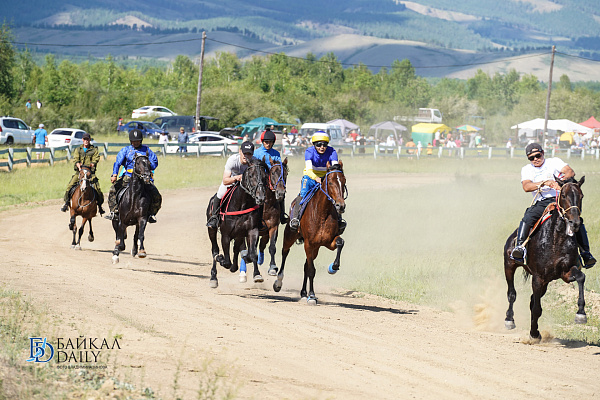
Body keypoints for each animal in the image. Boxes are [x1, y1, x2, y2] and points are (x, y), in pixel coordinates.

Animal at [209, 156, 270, 288]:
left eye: (264, 176)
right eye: (251, 175)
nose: (261, 198)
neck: (242, 203)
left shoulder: (252, 231)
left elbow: (252, 254)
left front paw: (257, 275)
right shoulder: (226, 235)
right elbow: (225, 260)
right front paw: (221, 259)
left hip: (239, 235)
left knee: (236, 248)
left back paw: (235, 266)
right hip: (212, 230)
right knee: (214, 250)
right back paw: (213, 277)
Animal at [274, 161, 344, 304]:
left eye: (344, 181)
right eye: (330, 182)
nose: (341, 205)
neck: (323, 213)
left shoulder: (327, 241)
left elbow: (340, 242)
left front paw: (333, 267)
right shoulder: (309, 243)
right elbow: (312, 270)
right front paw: (311, 296)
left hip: (315, 248)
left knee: (306, 265)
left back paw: (303, 292)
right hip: (290, 236)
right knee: (285, 253)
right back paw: (278, 283)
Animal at [504, 177, 588, 342]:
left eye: (581, 196)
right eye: (563, 195)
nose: (575, 223)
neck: (556, 239)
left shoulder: (566, 272)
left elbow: (581, 277)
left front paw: (581, 314)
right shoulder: (538, 277)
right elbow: (536, 308)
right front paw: (533, 334)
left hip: (546, 282)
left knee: (532, 300)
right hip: (509, 266)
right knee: (512, 294)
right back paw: (509, 320)